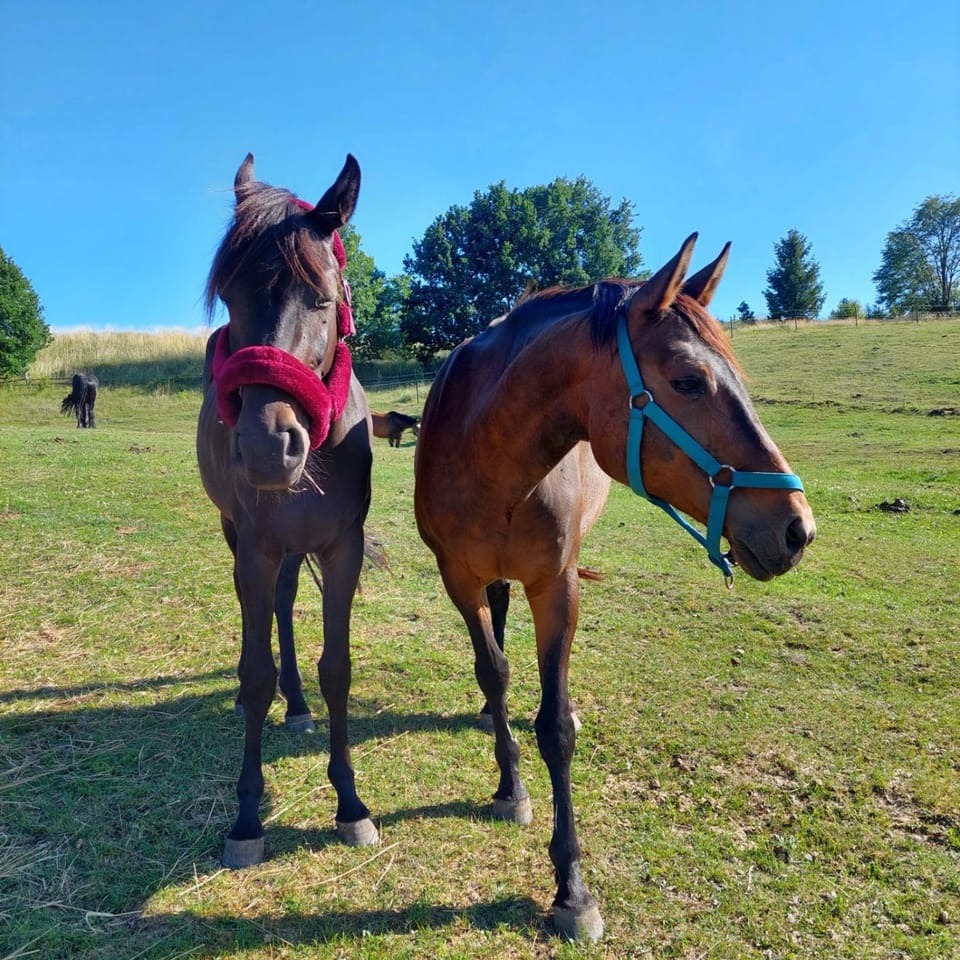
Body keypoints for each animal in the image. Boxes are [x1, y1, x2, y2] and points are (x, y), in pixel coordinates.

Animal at [196, 152, 379, 869]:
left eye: (323, 297)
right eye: (229, 295)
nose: (269, 447)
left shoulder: (341, 549)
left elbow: (338, 669)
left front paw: (350, 804)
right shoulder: (254, 549)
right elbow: (253, 674)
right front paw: (247, 817)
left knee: (284, 604)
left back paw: (297, 702)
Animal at [413, 234, 816, 941]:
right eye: (688, 381)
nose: (798, 529)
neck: (485, 455)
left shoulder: (557, 587)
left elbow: (555, 728)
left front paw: (572, 889)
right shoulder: (457, 579)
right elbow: (494, 669)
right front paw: (510, 784)